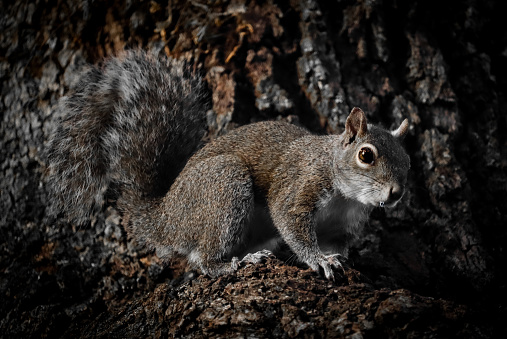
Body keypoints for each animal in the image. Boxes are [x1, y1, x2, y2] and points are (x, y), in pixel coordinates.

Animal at [46, 49, 412, 278]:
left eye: (408, 160)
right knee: (203, 259)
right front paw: (319, 260)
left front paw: (339, 259)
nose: (396, 193)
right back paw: (236, 263)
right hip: (225, 187)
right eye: (366, 155)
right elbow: (293, 224)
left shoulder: (343, 225)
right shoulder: (299, 189)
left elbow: (337, 244)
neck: (346, 195)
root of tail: (163, 218)